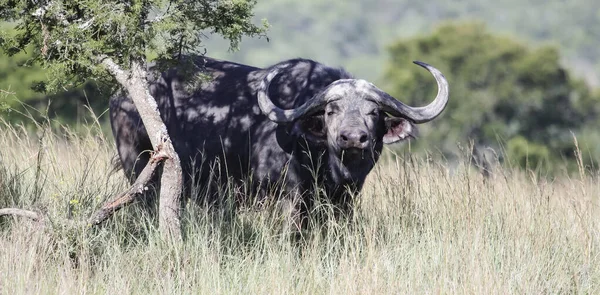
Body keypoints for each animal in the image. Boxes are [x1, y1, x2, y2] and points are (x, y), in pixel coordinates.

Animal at [110, 56, 448, 220]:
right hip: (137, 168)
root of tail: (121, 96)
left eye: (374, 112)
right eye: (331, 111)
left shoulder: (344, 201)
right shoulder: (283, 198)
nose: (353, 138)